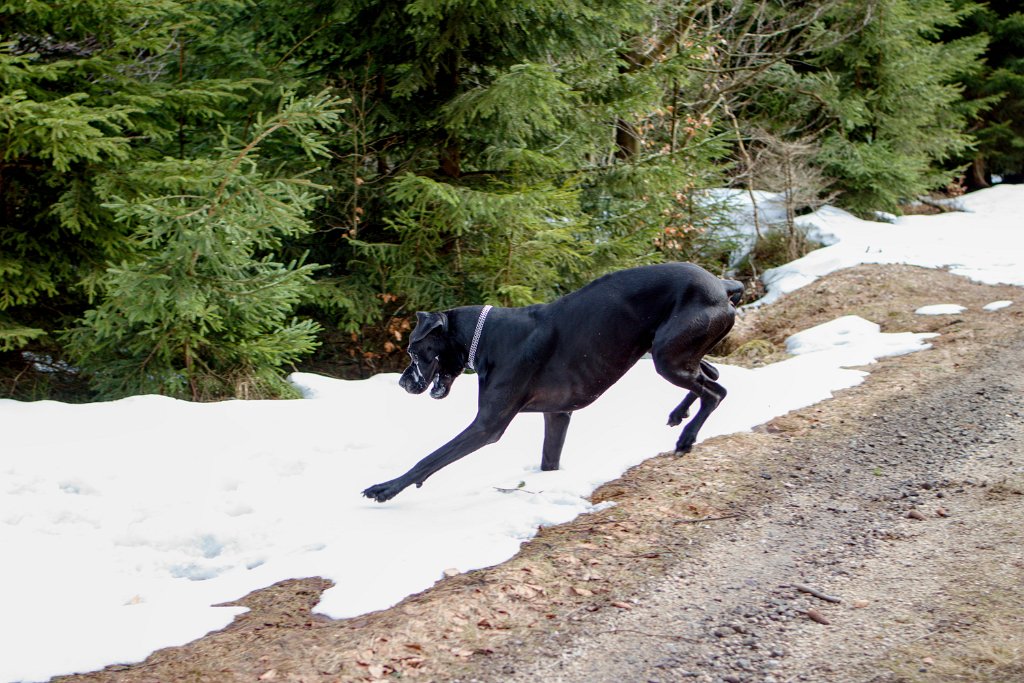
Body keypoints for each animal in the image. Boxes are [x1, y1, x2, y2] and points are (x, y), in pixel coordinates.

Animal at [364, 262, 741, 501]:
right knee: (711, 374)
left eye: (413, 350)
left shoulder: (487, 426)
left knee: (716, 391)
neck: (487, 338)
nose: (403, 384)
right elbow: (549, 459)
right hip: (673, 351)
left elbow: (429, 459)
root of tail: (722, 286)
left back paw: (687, 436)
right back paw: (679, 413)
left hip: (667, 357)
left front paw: (386, 488)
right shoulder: (557, 414)